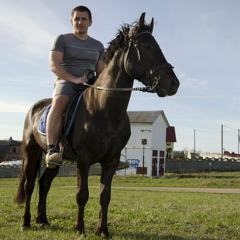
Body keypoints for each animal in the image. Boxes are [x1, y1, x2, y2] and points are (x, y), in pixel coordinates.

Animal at [14, 13, 180, 238]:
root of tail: (34, 108)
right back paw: (26, 222)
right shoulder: (83, 159)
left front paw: (103, 230)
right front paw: (80, 228)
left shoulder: (111, 161)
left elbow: (105, 195)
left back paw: (43, 220)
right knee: (30, 184)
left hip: (54, 161)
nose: (173, 84)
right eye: (146, 46)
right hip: (31, 152)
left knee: (45, 183)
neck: (104, 109)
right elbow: (82, 194)